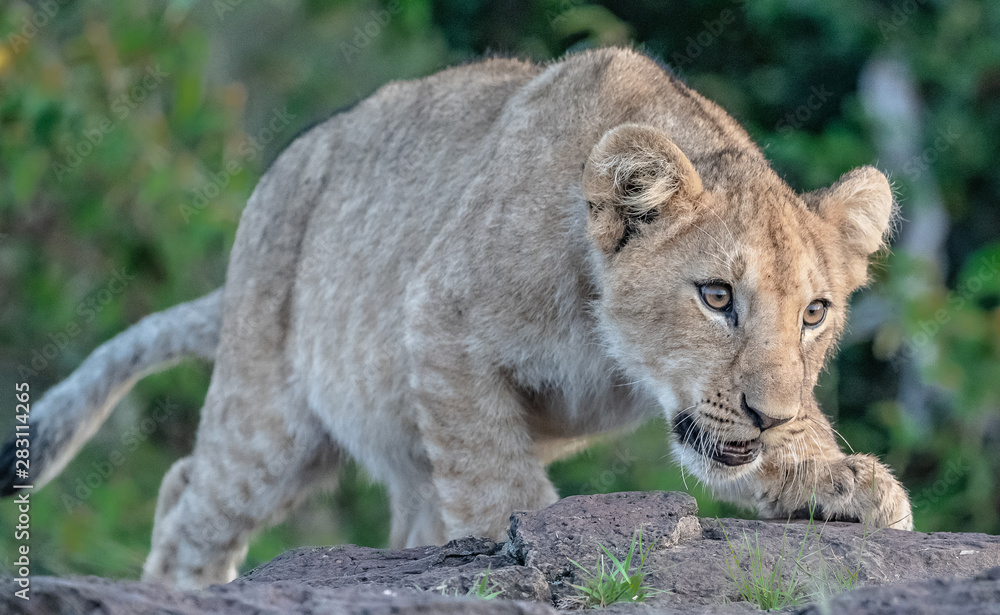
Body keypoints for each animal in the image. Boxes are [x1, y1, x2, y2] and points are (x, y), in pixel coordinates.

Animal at [0, 47, 911, 589]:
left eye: (815, 313)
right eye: (716, 296)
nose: (770, 413)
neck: (607, 339)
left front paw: (844, 479)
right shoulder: (438, 319)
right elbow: (495, 475)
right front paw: (534, 555)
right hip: (271, 420)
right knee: (196, 492)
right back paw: (183, 590)